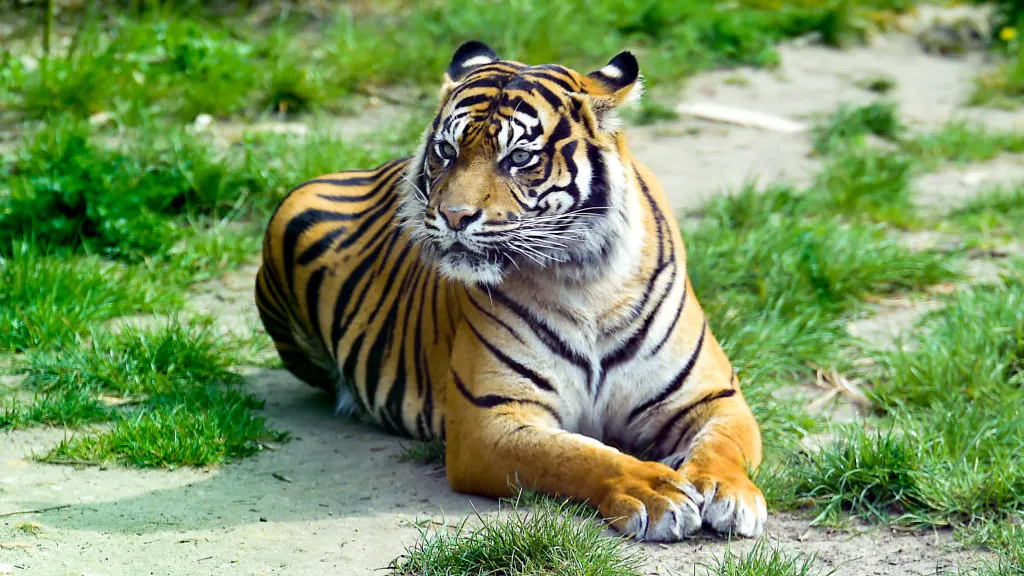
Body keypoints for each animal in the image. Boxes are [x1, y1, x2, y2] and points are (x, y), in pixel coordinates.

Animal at [255, 41, 766, 540]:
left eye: (519, 157)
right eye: (446, 150)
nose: (453, 216)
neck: (587, 281)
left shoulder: (711, 395)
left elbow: (725, 445)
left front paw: (731, 494)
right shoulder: (489, 419)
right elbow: (578, 455)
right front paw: (655, 491)